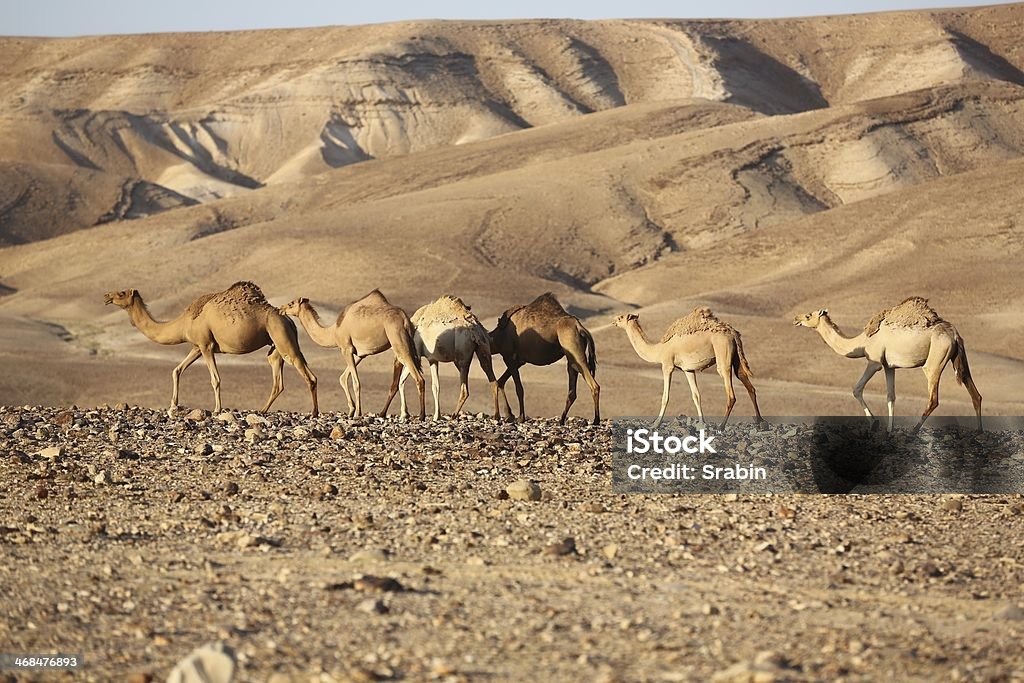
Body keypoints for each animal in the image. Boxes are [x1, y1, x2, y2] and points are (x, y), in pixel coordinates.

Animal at [104, 278, 315, 417]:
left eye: (121, 293)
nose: (106, 295)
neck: (183, 322)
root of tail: (288, 319)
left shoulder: (206, 345)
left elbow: (215, 379)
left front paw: (217, 409)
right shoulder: (196, 347)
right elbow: (177, 370)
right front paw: (173, 406)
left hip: (282, 337)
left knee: (307, 375)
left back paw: (314, 412)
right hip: (276, 344)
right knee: (278, 377)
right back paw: (262, 410)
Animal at [278, 290, 425, 419]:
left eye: (291, 303)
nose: (280, 308)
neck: (334, 331)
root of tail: (405, 319)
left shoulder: (346, 348)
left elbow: (356, 382)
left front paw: (357, 413)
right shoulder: (360, 354)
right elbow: (343, 378)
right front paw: (351, 409)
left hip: (398, 339)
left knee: (419, 378)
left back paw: (421, 415)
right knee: (398, 381)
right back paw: (386, 413)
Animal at [487, 294, 598, 428]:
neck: (498, 336)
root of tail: (579, 327)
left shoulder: (508, 357)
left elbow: (518, 388)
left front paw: (520, 418)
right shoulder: (519, 361)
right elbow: (500, 382)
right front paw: (509, 415)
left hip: (575, 351)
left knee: (594, 385)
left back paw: (596, 420)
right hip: (571, 357)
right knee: (572, 391)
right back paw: (561, 420)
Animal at [606, 309, 761, 428]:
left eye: (620, 317)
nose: (613, 321)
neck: (659, 349)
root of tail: (733, 333)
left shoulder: (667, 365)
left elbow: (665, 397)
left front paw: (655, 424)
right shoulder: (688, 369)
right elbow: (696, 396)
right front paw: (702, 424)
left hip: (723, 352)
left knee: (730, 393)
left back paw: (721, 427)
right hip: (736, 357)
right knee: (747, 382)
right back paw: (760, 422)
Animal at [790, 294, 983, 432]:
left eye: (808, 315)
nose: (795, 319)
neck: (863, 340)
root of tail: (954, 335)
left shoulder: (874, 362)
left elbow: (857, 389)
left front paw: (875, 423)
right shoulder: (889, 366)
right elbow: (891, 397)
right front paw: (889, 430)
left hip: (935, 360)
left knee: (933, 399)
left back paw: (914, 431)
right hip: (960, 359)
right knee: (975, 393)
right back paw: (980, 432)